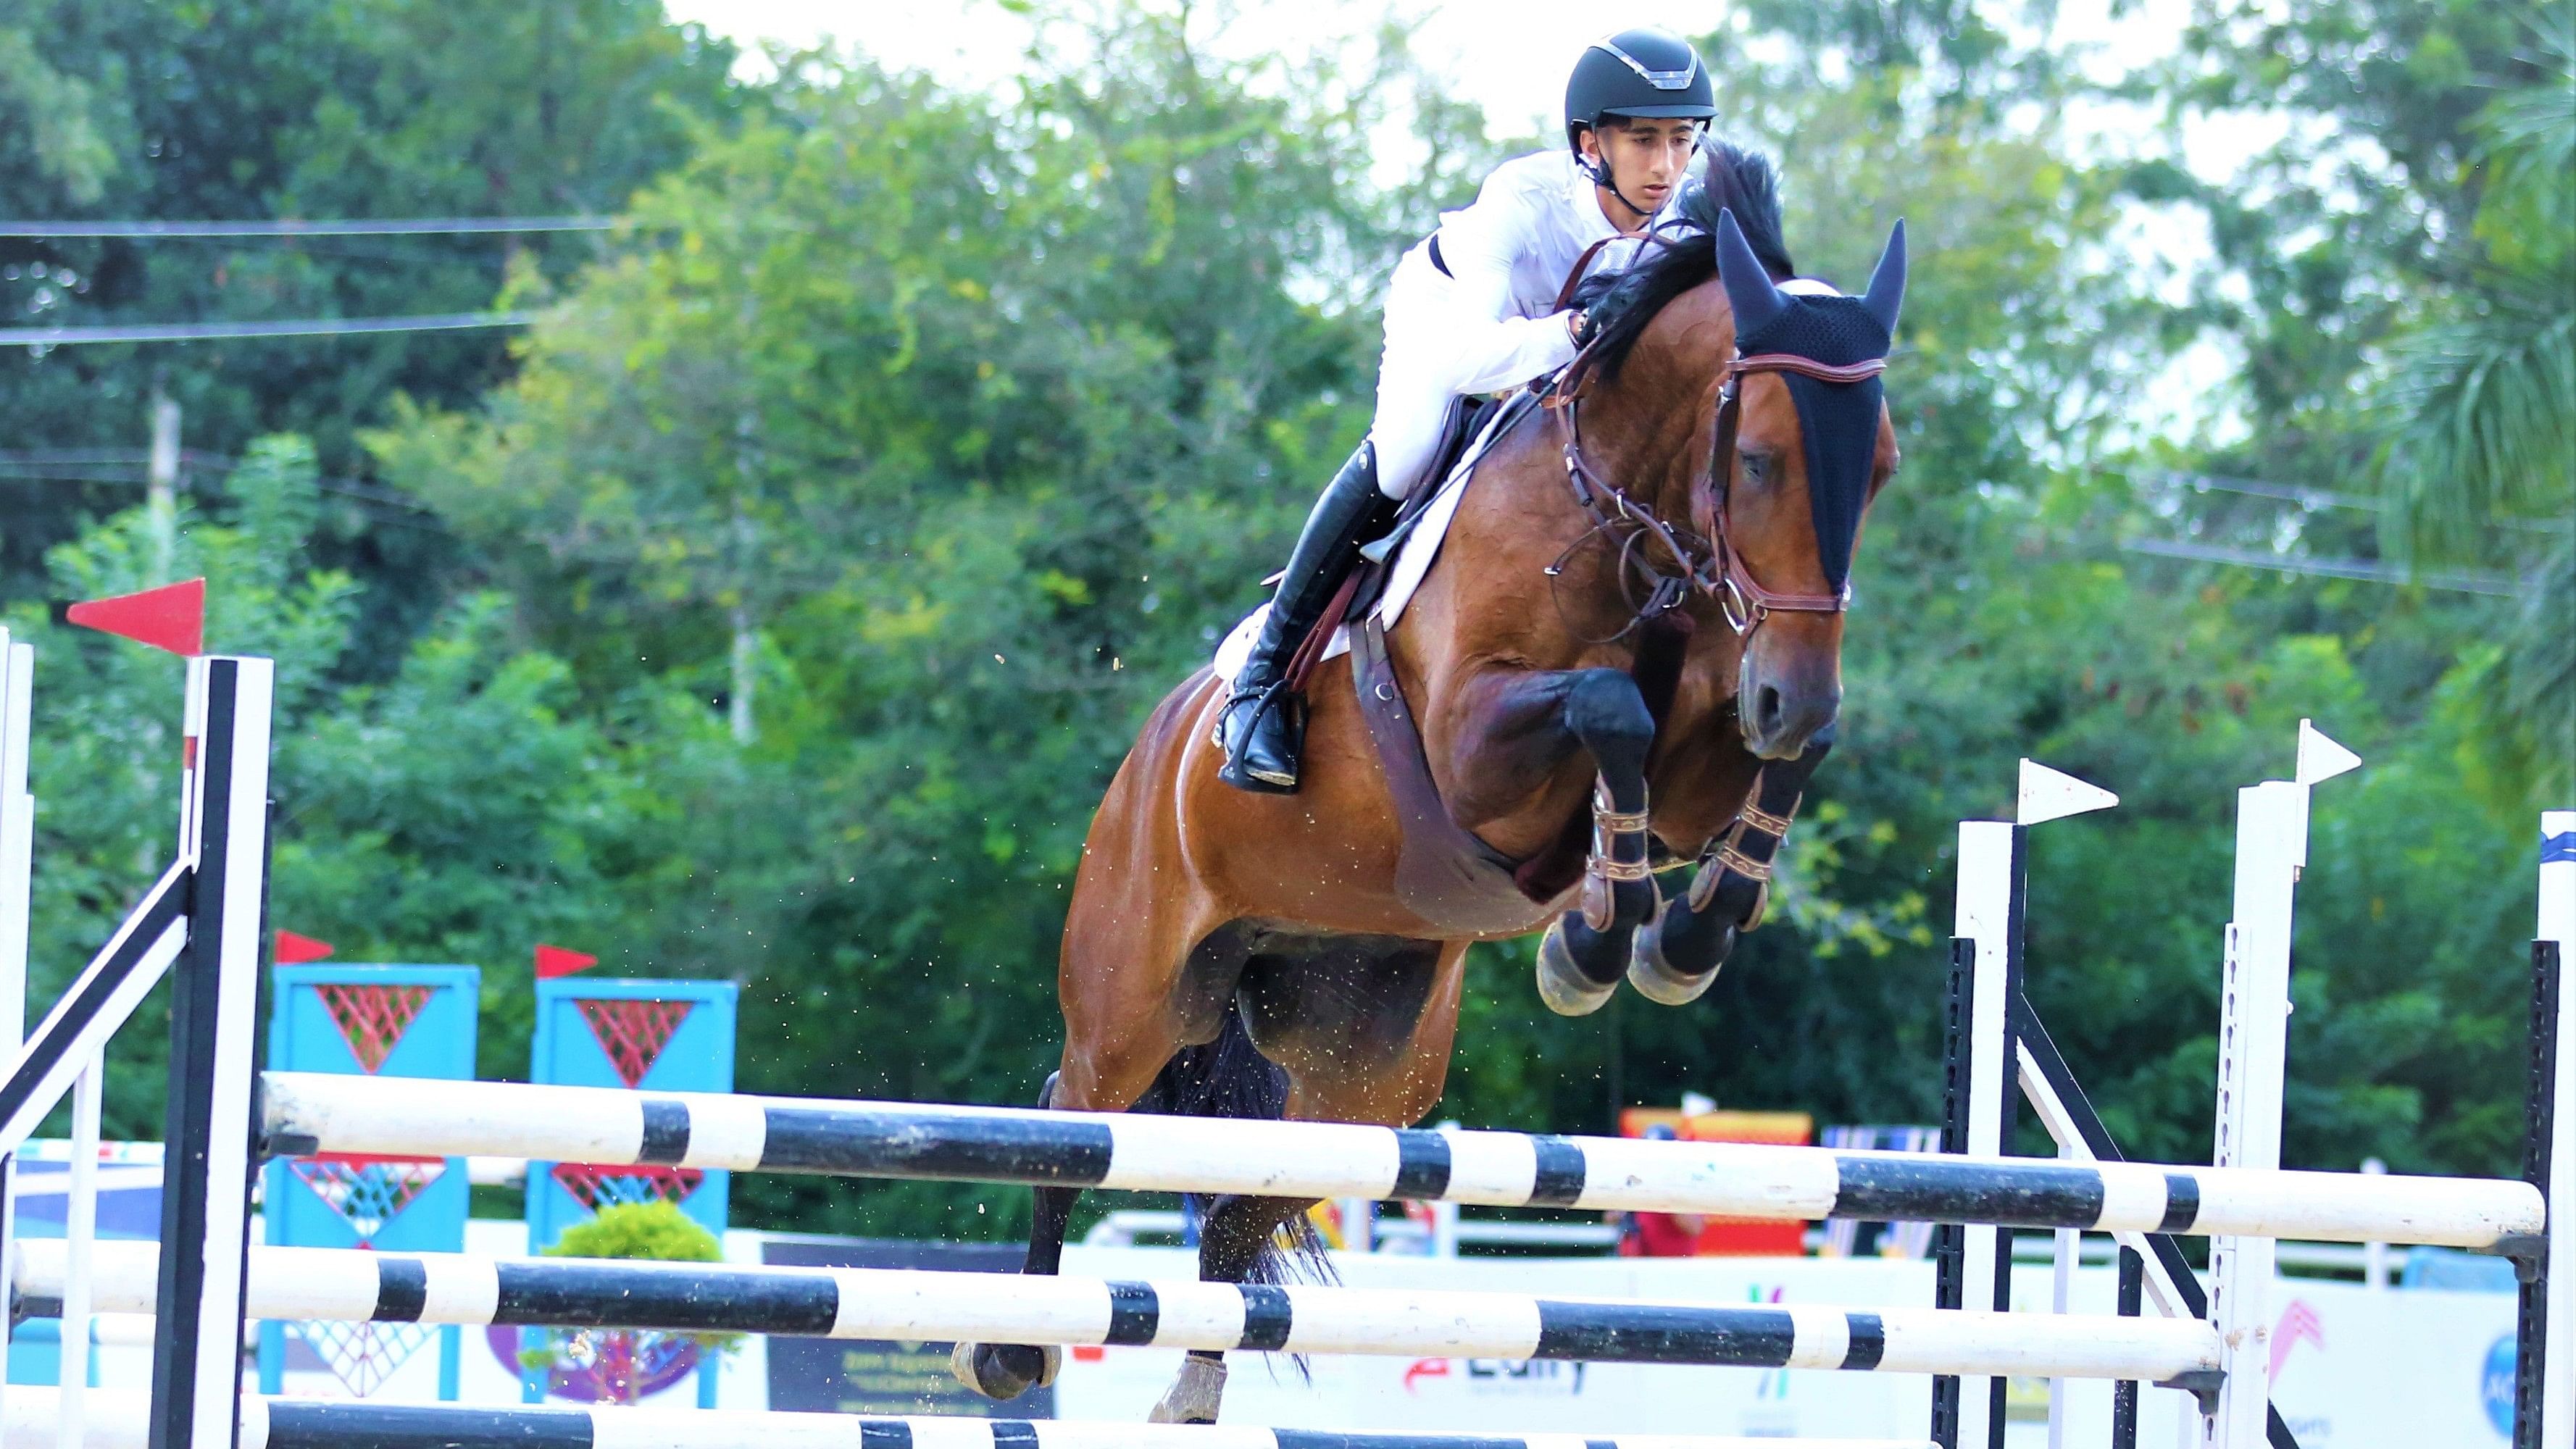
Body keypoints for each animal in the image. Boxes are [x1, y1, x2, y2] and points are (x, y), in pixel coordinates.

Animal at [958, 150, 1906, 1431]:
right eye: (1758, 460)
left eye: (1879, 469)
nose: (1791, 695)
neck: (1623, 522)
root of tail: (1147, 756)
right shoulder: (1471, 749)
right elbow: (1609, 709)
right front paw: (1595, 945)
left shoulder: (1710, 750)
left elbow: (1751, 771)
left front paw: (1680, 936)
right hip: (1135, 990)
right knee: (1073, 1111)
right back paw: (1011, 1351)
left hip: (1367, 1071)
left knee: (1256, 1189)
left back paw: (1195, 1388)